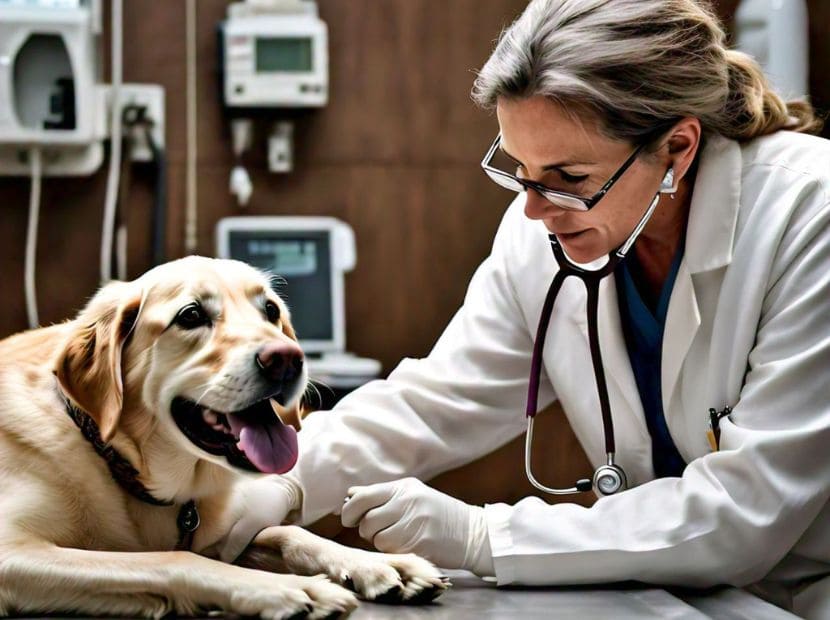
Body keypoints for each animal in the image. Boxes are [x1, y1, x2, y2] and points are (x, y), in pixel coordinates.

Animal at [0, 256, 448, 620]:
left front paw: (376, 563)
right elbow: (174, 560)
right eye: (191, 314)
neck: (113, 458)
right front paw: (287, 588)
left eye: (270, 310)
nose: (287, 359)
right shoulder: (11, 551)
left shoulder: (227, 537)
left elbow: (287, 533)